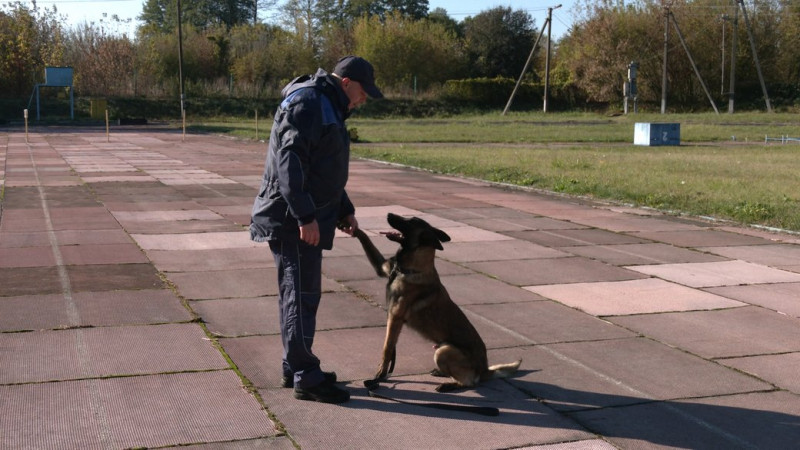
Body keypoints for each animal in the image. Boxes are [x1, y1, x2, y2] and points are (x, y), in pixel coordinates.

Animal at [348, 213, 520, 392]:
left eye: (411, 222)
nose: (389, 214)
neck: (410, 269)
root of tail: (485, 369)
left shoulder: (394, 319)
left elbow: (387, 349)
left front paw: (380, 374)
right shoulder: (383, 268)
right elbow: (365, 238)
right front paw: (353, 228)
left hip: (443, 351)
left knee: (470, 382)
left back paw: (448, 385)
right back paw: (441, 373)